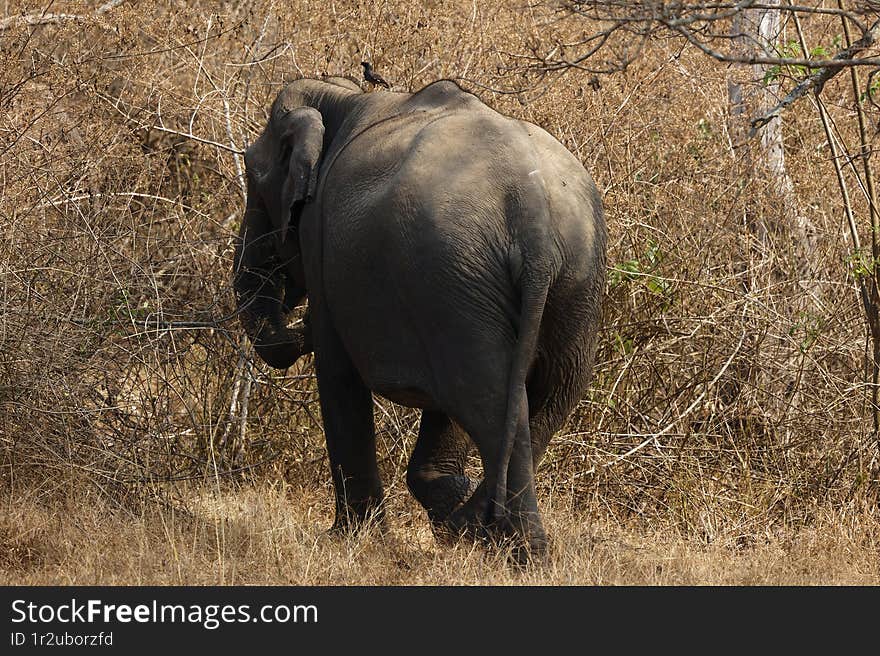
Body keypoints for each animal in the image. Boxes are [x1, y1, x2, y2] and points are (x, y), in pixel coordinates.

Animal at [232, 77, 604, 560]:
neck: (341, 95)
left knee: (490, 400)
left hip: (461, 272)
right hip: (562, 282)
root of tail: (534, 215)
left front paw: (349, 539)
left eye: (253, 179)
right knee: (549, 396)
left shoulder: (322, 242)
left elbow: (337, 372)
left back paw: (510, 547)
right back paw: (482, 532)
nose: (297, 329)